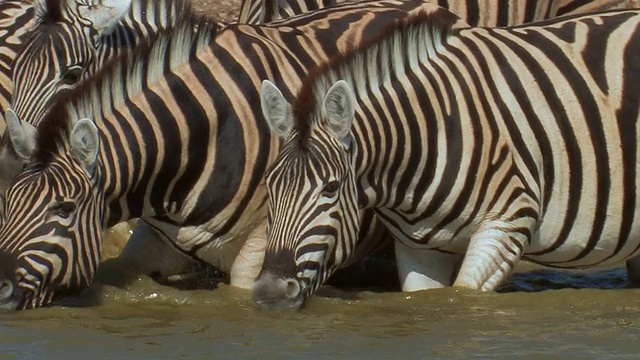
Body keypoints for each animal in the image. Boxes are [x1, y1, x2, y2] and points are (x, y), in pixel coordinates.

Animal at [254, 9, 640, 310]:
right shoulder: (419, 247)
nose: (271, 291)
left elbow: (465, 299)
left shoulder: (507, 223)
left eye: (331, 189)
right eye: (269, 187)